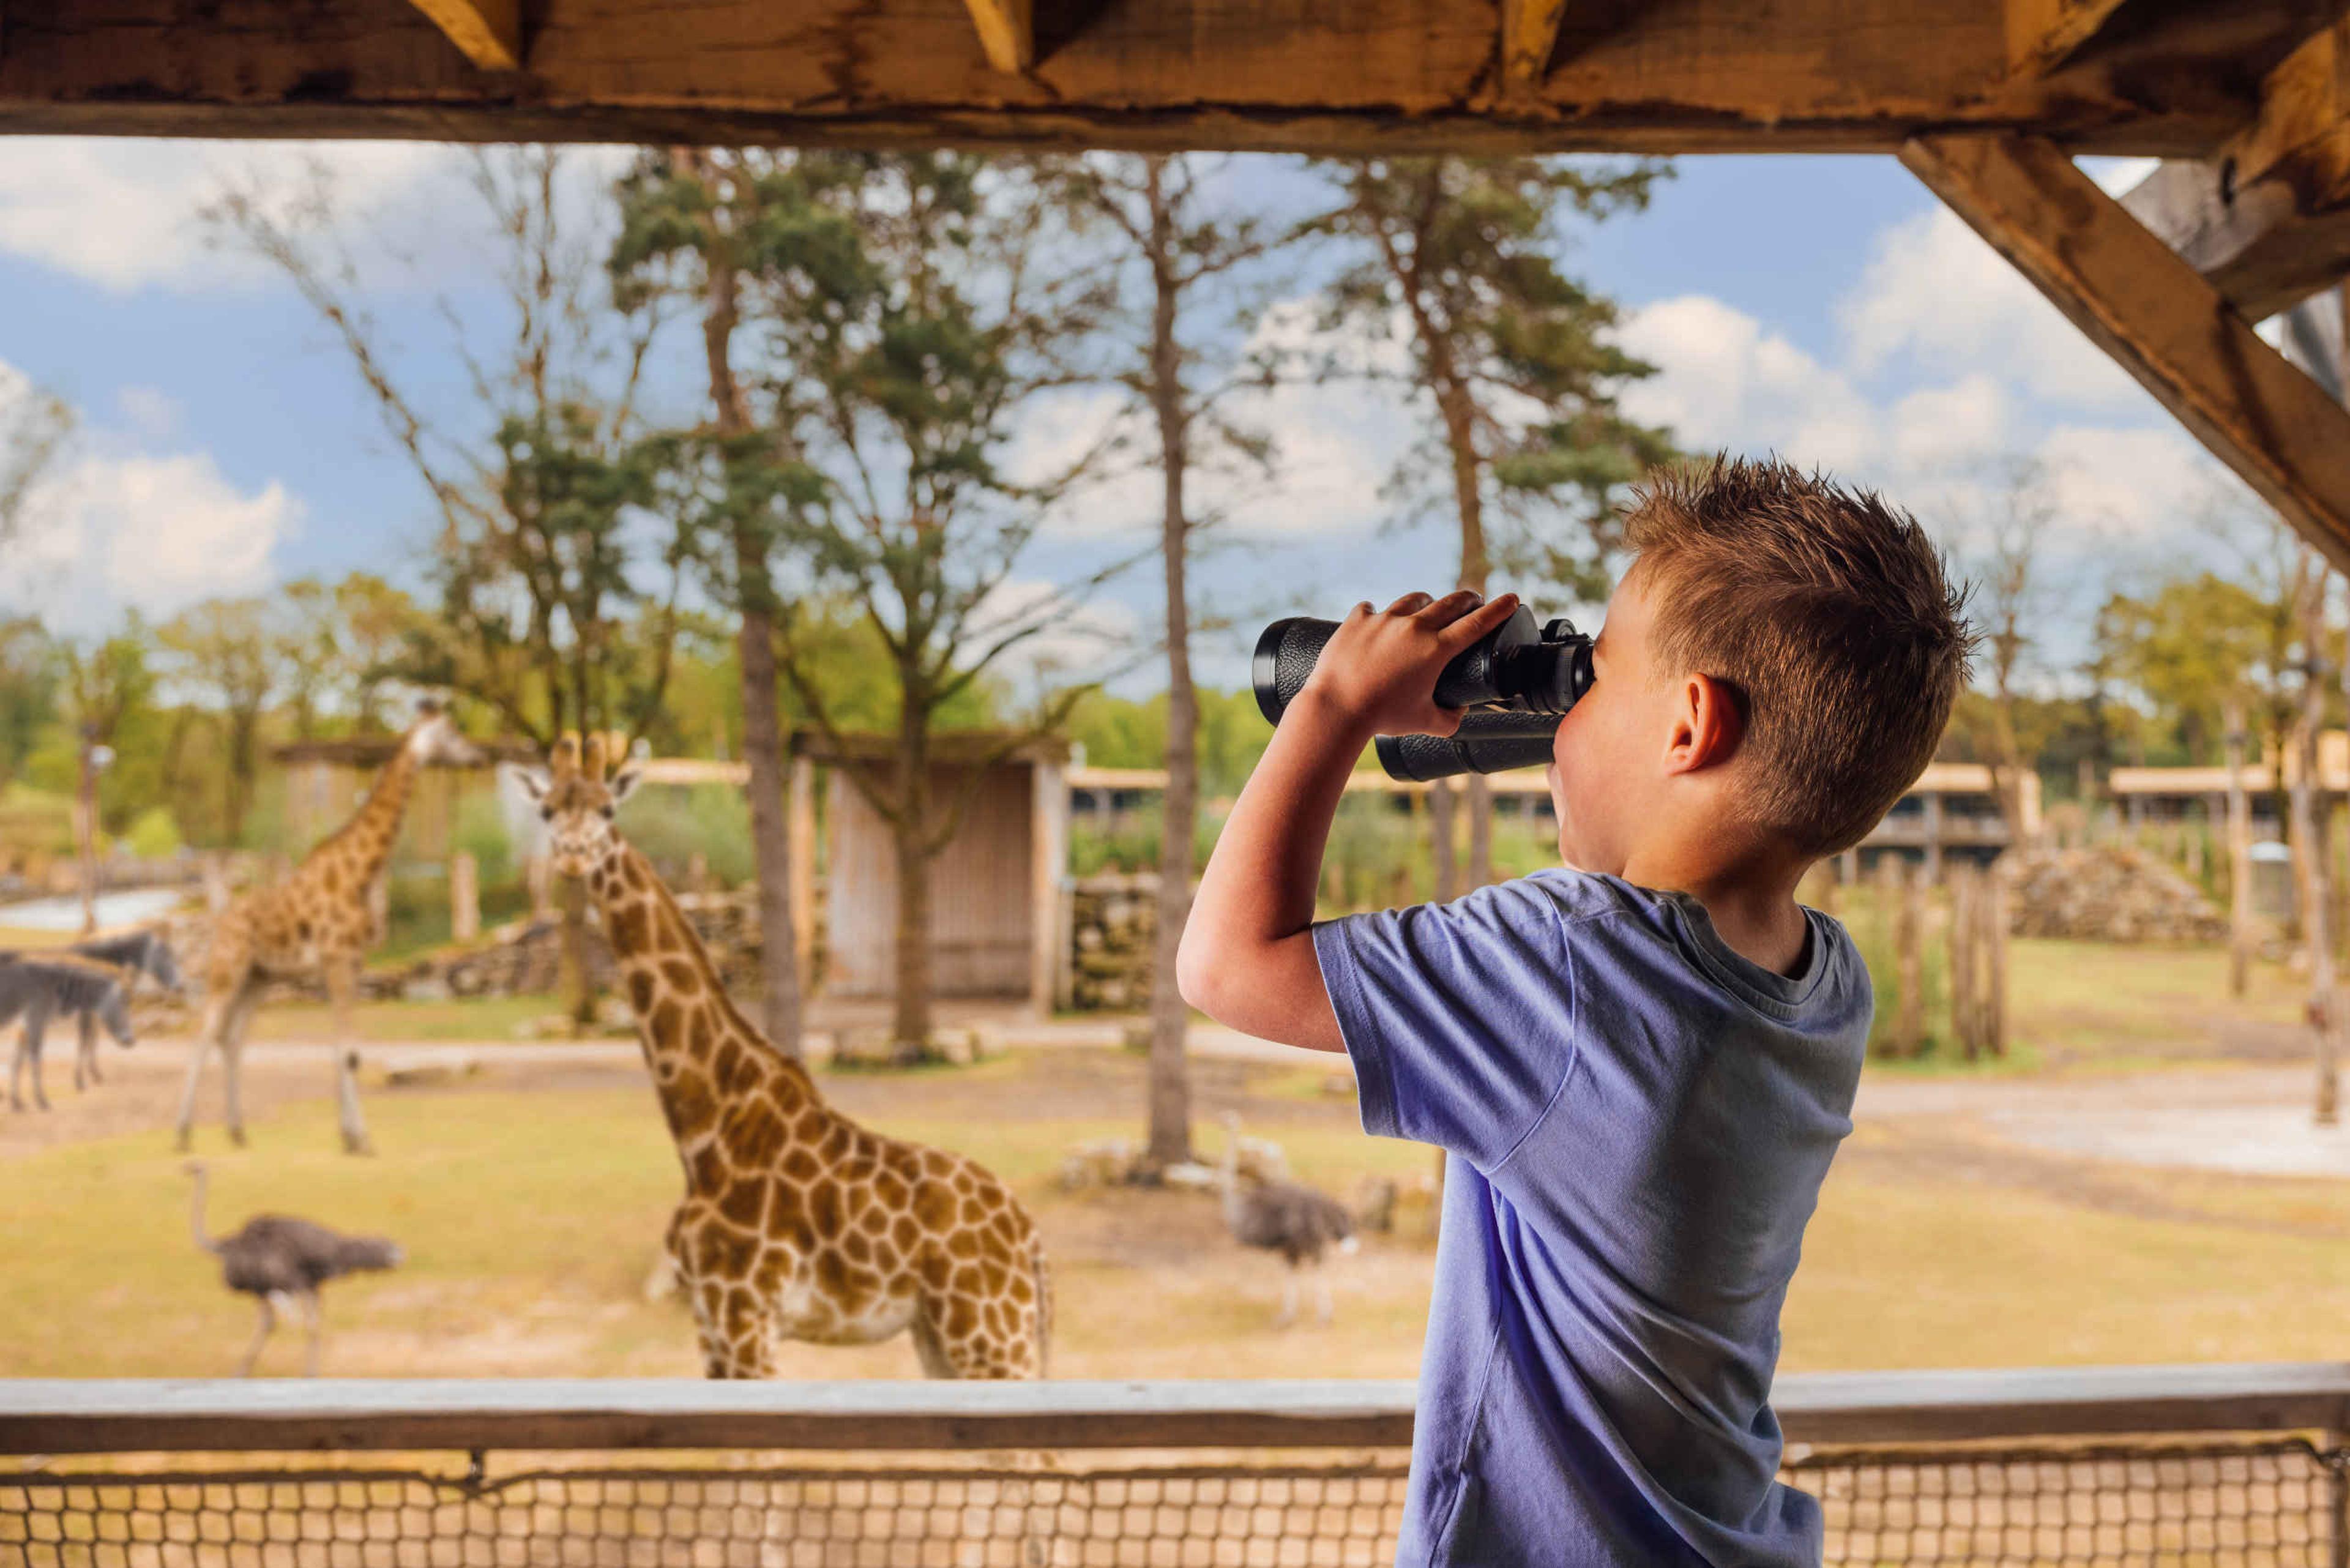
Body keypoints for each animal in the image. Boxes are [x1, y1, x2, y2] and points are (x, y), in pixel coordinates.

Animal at [174, 702, 483, 1154]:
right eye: (453, 732)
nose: (477, 755)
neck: (360, 875)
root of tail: (220, 921)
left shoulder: (353, 962)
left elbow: (344, 1049)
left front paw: (349, 1137)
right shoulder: (338, 959)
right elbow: (348, 1049)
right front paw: (362, 1139)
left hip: (260, 978)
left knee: (232, 1038)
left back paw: (237, 1131)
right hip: (228, 969)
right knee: (204, 1033)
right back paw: (183, 1134)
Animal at [519, 733, 1051, 1379]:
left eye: (606, 808)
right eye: (548, 810)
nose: (573, 858)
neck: (707, 1131)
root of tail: (1030, 1239)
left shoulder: (745, 1316)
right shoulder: (710, 1324)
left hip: (990, 1334)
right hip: (940, 1336)